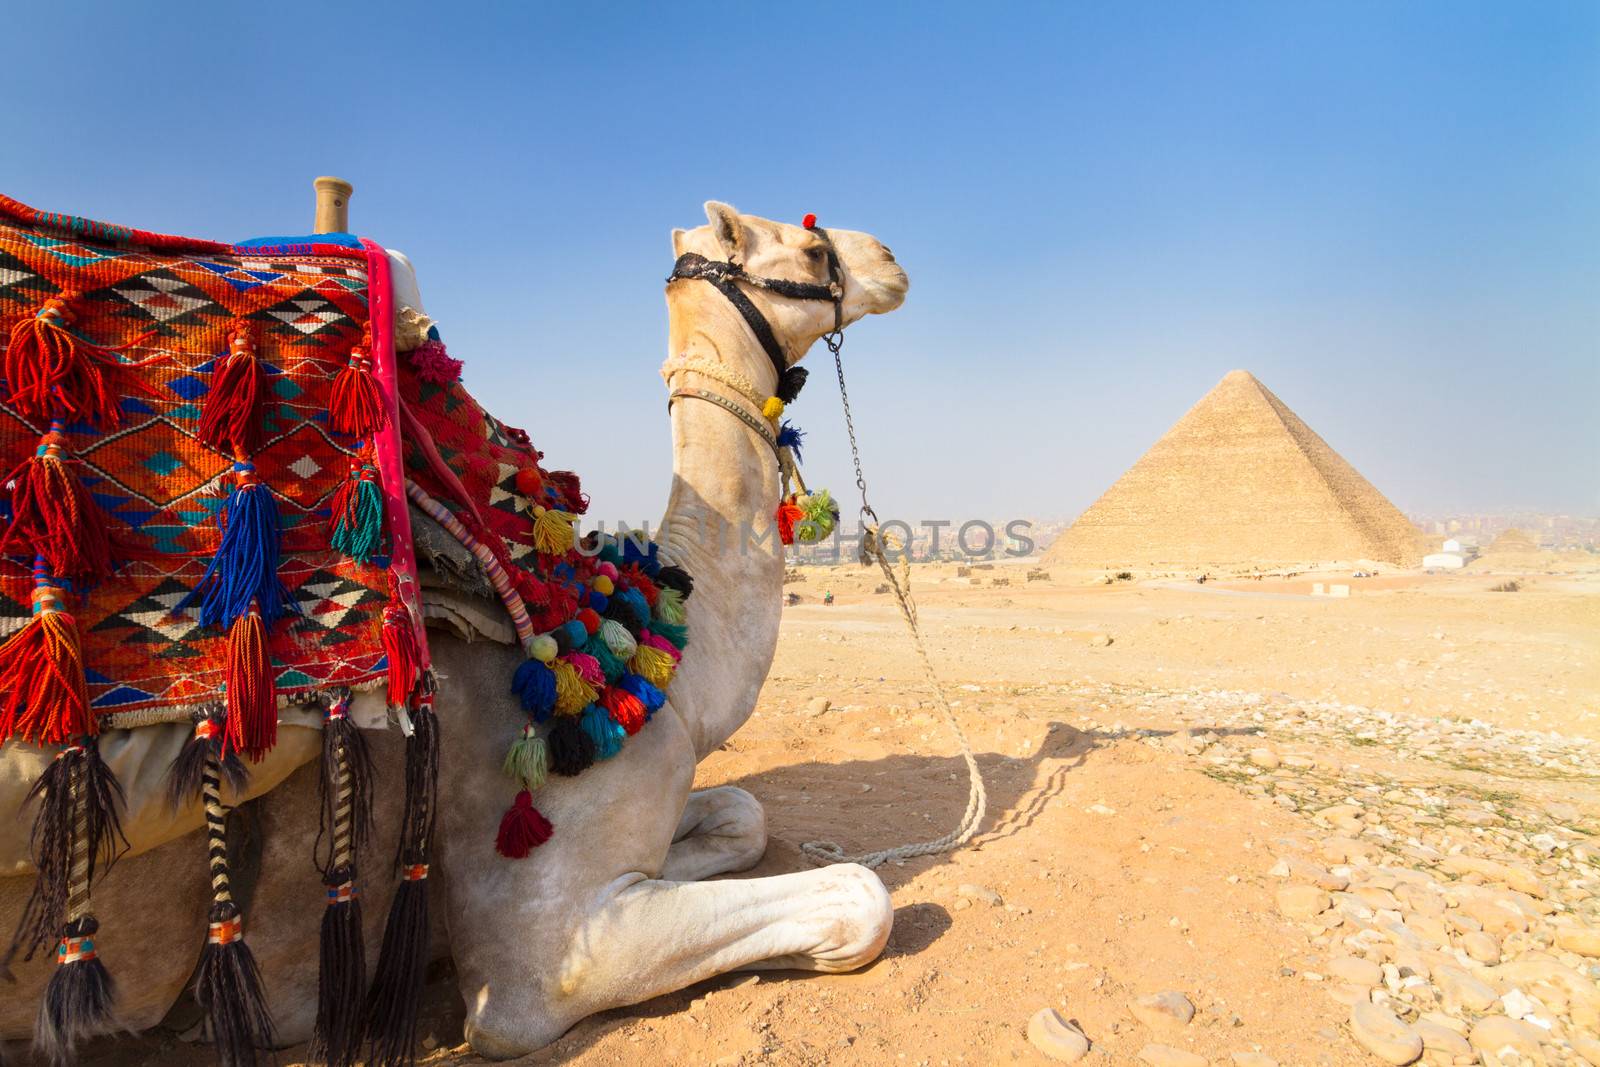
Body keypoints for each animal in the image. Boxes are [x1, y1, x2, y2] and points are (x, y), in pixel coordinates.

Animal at [3, 202, 915, 1062]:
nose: (890, 256)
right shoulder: (544, 950)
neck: (675, 670)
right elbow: (858, 898)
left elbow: (742, 813)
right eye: (810, 248)